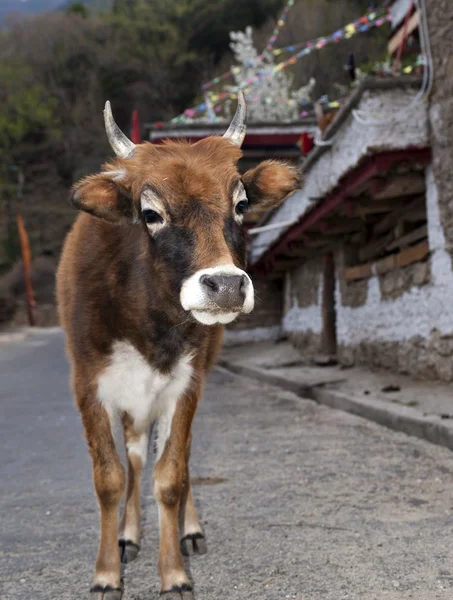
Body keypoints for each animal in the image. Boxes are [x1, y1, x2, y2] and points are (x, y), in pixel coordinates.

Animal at [56, 92, 298, 596]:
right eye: (151, 214)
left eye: (241, 204)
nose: (225, 286)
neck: (149, 325)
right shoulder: (88, 384)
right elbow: (110, 478)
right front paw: (107, 572)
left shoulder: (185, 384)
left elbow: (170, 475)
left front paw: (173, 574)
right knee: (132, 457)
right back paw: (128, 535)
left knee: (179, 459)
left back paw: (189, 530)